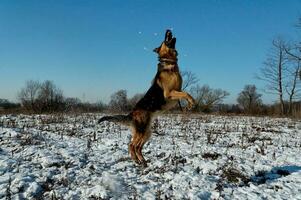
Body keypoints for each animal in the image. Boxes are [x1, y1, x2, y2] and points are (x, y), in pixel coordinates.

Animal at [98, 29, 195, 166]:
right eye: (164, 39)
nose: (168, 30)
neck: (169, 62)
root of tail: (131, 114)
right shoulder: (169, 93)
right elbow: (186, 94)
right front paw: (192, 103)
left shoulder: (177, 90)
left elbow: (186, 93)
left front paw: (189, 105)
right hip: (142, 131)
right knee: (131, 145)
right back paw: (137, 160)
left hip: (147, 133)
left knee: (138, 147)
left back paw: (142, 160)